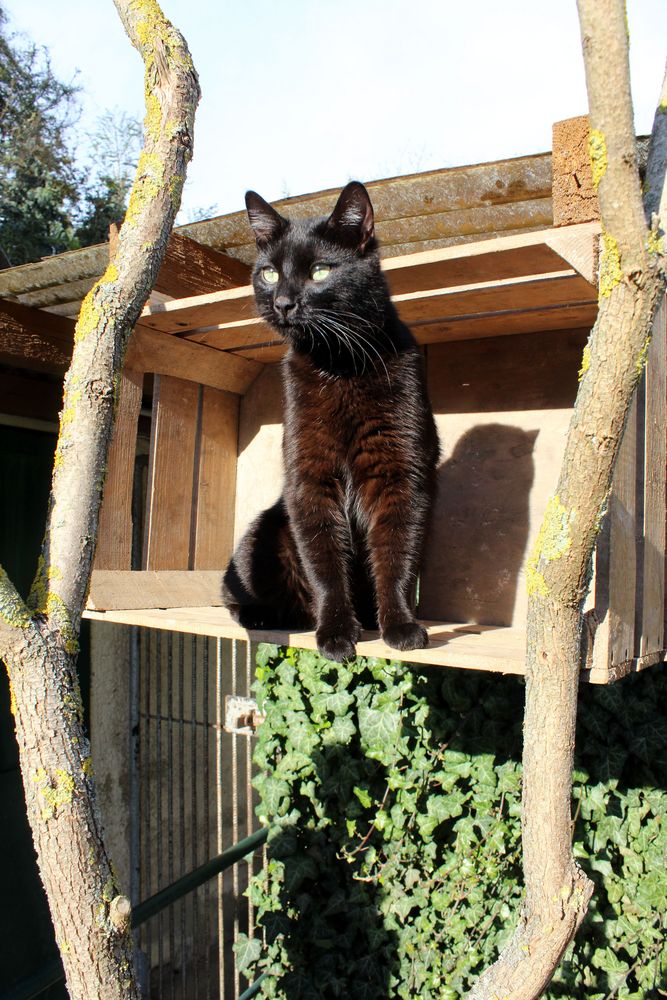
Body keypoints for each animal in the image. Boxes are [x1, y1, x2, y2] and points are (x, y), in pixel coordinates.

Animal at [224, 180, 440, 664]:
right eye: (269, 273)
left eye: (320, 271)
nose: (284, 302)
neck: (338, 364)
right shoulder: (309, 479)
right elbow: (324, 562)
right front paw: (337, 634)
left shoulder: (400, 476)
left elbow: (397, 555)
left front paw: (399, 626)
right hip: (259, 538)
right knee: (234, 596)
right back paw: (270, 617)